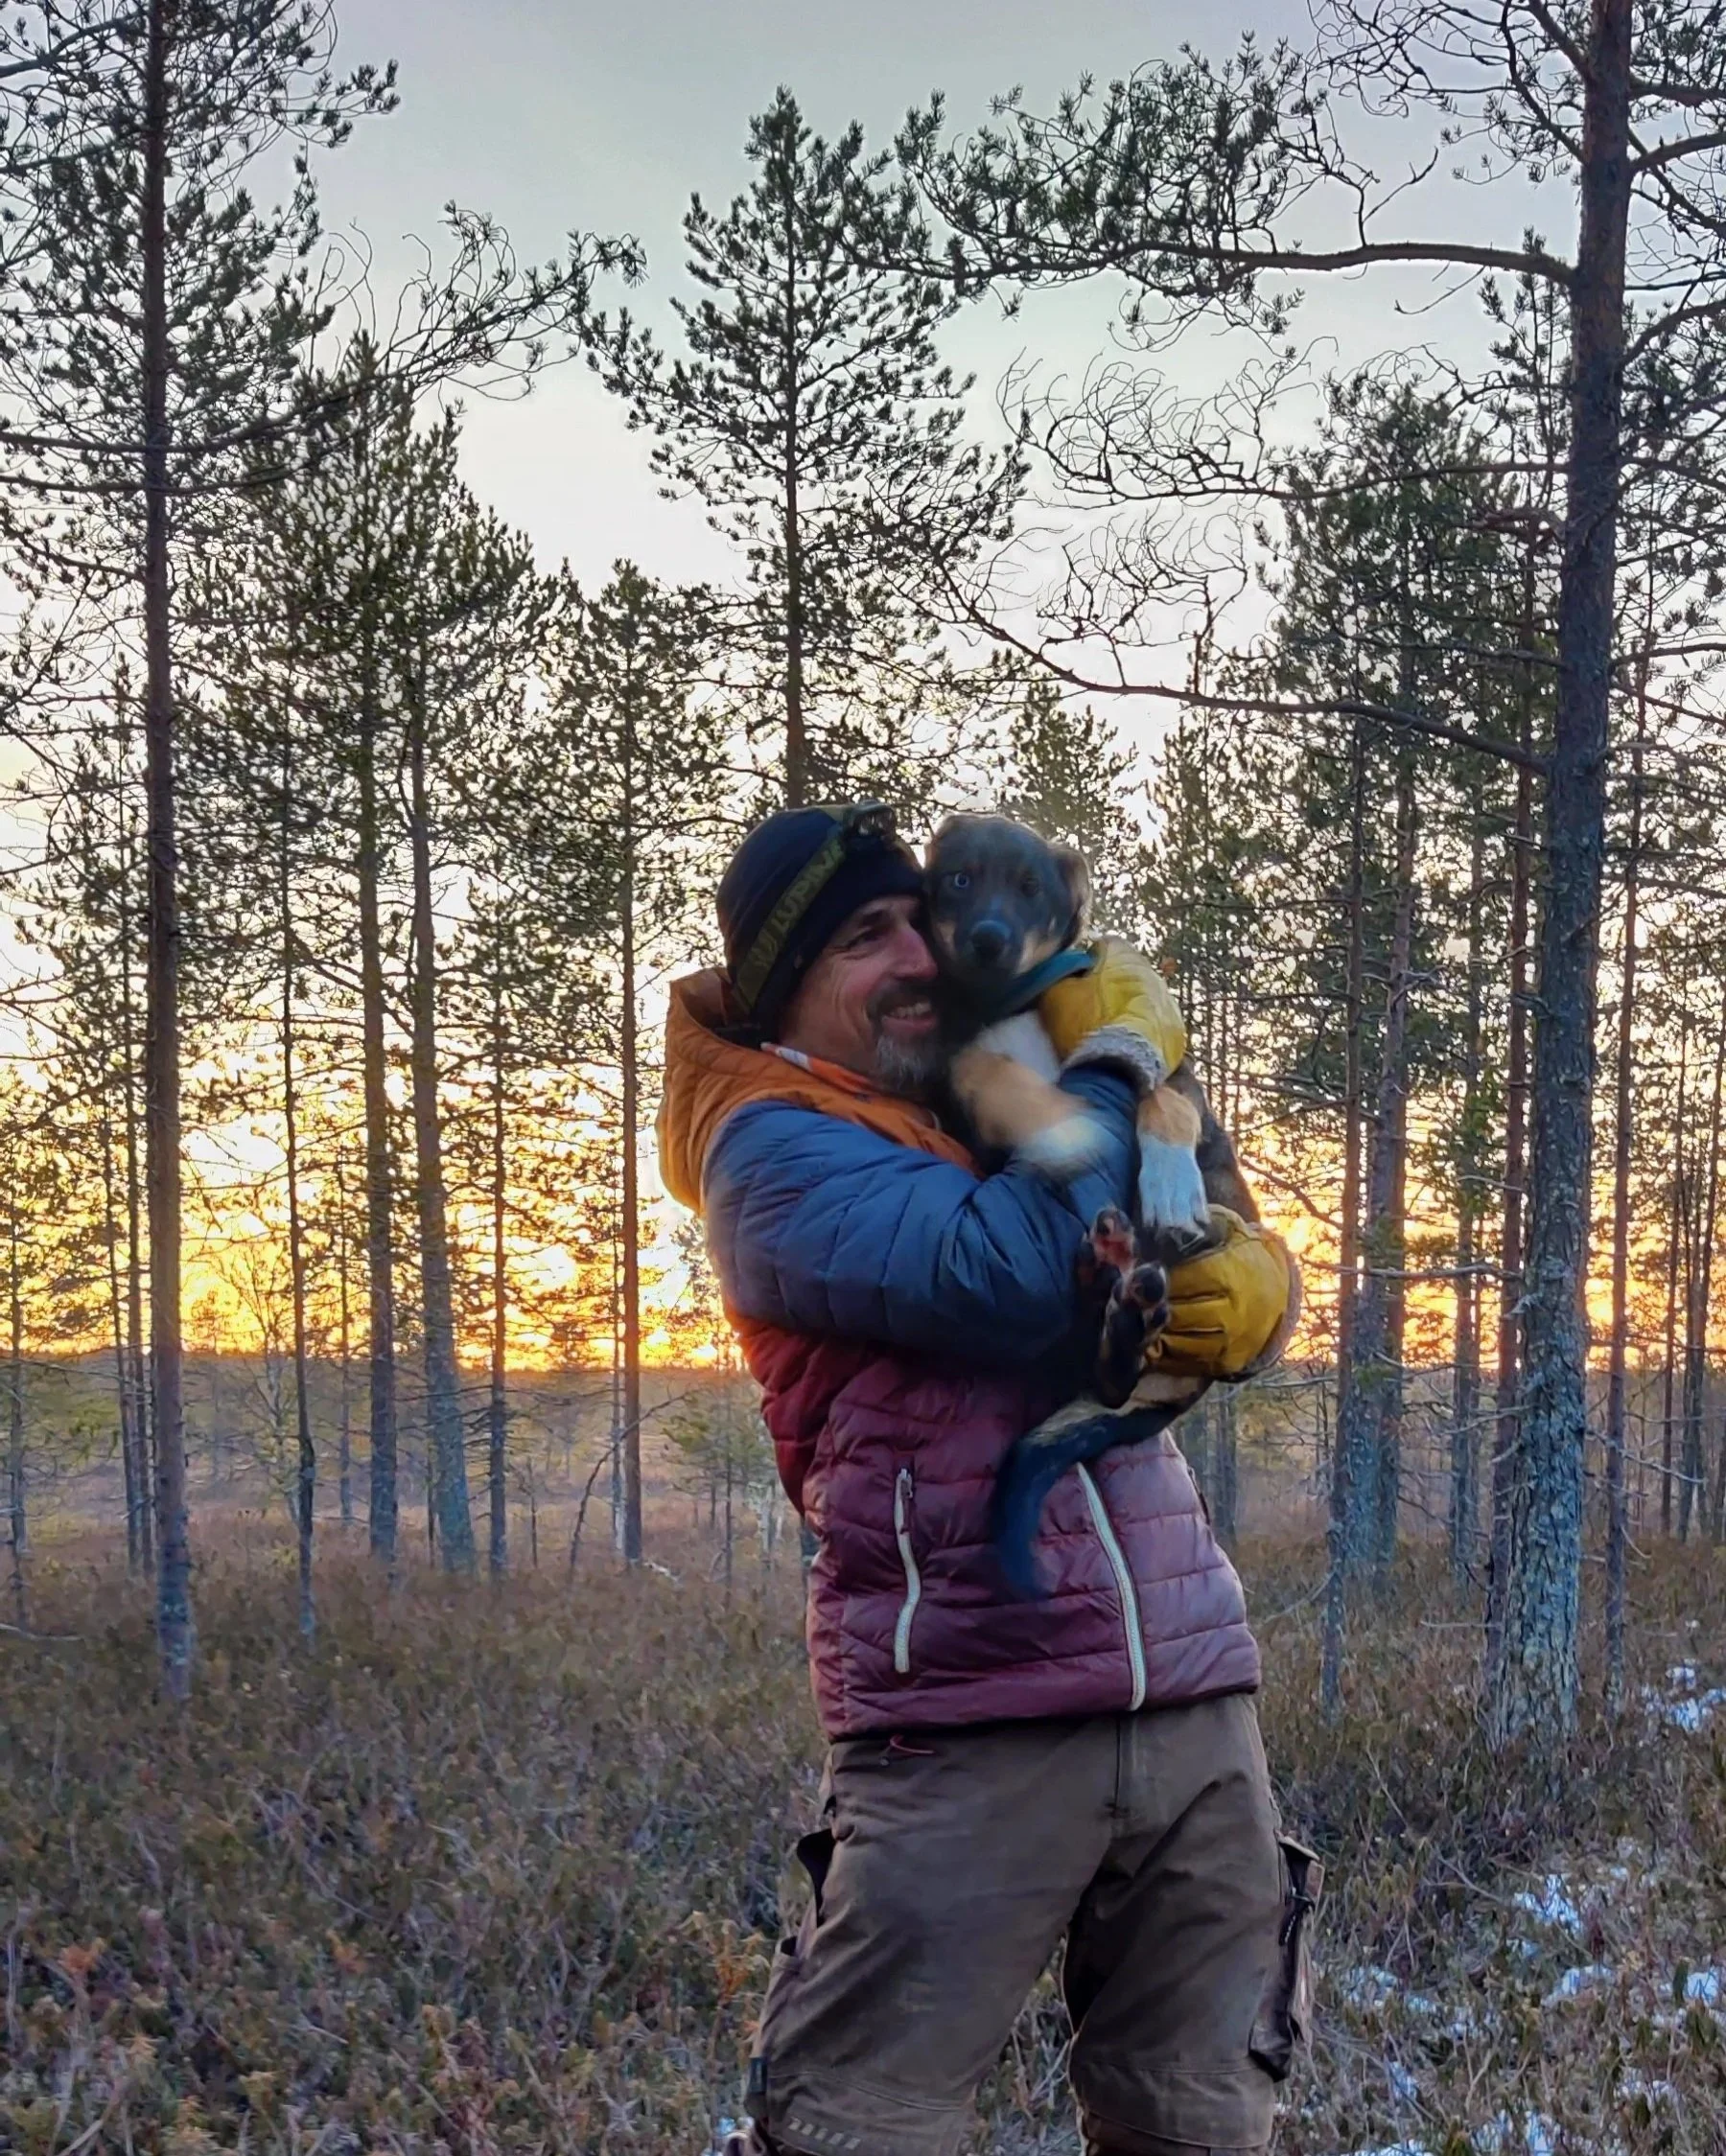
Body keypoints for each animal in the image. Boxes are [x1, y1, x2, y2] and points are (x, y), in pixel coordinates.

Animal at [924, 812, 1260, 1595]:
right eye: (959, 879)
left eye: (1028, 888)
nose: (988, 938)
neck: (1010, 1002)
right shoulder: (959, 1061)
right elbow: (986, 1071)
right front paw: (1054, 1120)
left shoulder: (1171, 1075)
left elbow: (1161, 1098)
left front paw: (1171, 1187)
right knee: (1105, 1372)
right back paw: (1117, 1283)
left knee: (1111, 1374)